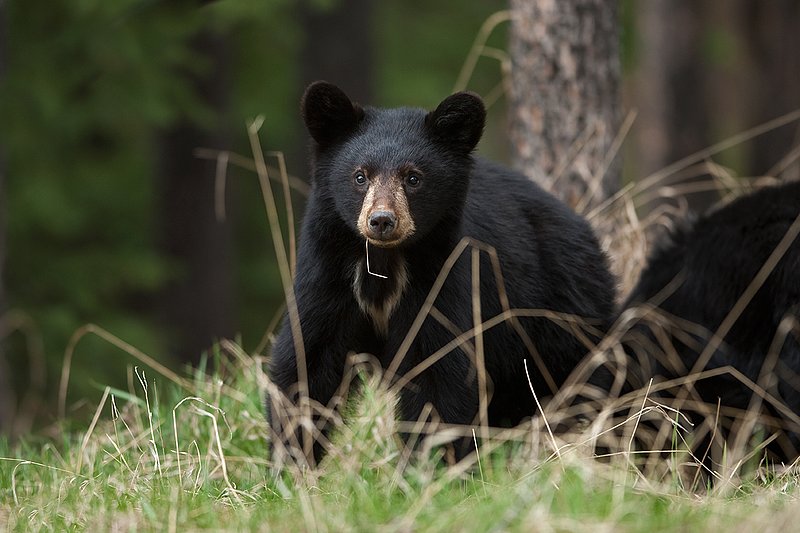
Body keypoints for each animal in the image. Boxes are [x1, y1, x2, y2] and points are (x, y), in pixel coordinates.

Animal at [266, 81, 616, 466]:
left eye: (413, 178)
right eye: (360, 176)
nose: (382, 221)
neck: (385, 262)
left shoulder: (444, 276)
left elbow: (440, 371)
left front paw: (426, 464)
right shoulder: (328, 274)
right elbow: (308, 361)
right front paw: (291, 462)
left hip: (558, 314)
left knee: (579, 381)